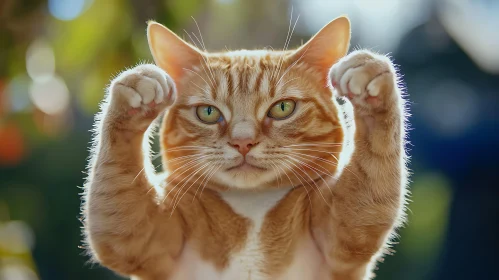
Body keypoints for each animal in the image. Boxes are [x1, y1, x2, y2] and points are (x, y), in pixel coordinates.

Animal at [82, 15, 410, 280]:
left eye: (282, 108)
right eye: (208, 112)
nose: (242, 141)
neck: (252, 206)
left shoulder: (344, 232)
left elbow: (371, 172)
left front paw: (367, 73)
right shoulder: (145, 242)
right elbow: (117, 191)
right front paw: (139, 85)